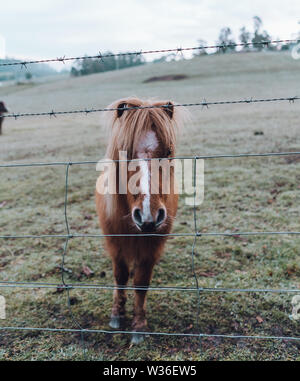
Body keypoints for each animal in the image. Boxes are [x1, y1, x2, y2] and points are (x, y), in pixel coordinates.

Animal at [95, 96, 182, 342]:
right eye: (125, 152)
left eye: (168, 151)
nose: (148, 215)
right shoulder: (115, 244)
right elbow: (121, 276)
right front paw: (117, 314)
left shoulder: (152, 246)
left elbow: (141, 283)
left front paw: (139, 326)